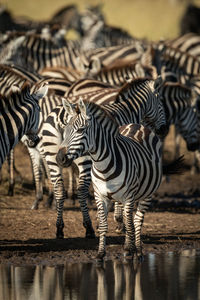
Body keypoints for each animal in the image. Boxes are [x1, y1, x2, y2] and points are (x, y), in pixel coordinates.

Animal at [39, 77, 167, 239]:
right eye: (161, 101)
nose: (163, 129)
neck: (131, 110)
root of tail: (61, 114)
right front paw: (119, 222)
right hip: (85, 160)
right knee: (81, 190)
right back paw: (88, 228)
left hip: (52, 157)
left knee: (59, 188)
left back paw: (59, 228)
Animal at [55, 99, 184, 262]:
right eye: (64, 131)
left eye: (80, 130)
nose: (59, 158)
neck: (102, 165)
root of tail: (137, 125)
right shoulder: (100, 196)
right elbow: (104, 225)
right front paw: (101, 253)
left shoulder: (129, 197)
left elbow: (130, 224)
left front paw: (129, 250)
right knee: (127, 218)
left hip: (146, 194)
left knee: (137, 221)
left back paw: (138, 251)